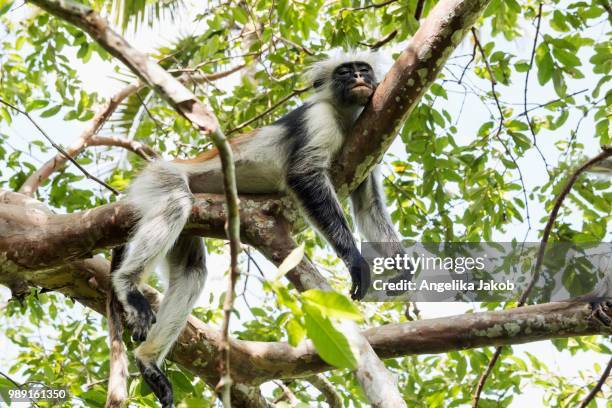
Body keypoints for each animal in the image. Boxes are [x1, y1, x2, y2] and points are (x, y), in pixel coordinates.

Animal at [107, 51, 408, 408]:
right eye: (345, 72)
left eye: (363, 70)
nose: (360, 78)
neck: (345, 115)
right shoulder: (316, 118)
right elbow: (304, 175)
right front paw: (355, 261)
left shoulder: (368, 142)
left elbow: (367, 205)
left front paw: (402, 267)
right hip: (160, 178)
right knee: (176, 203)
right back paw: (127, 285)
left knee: (192, 270)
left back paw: (148, 361)